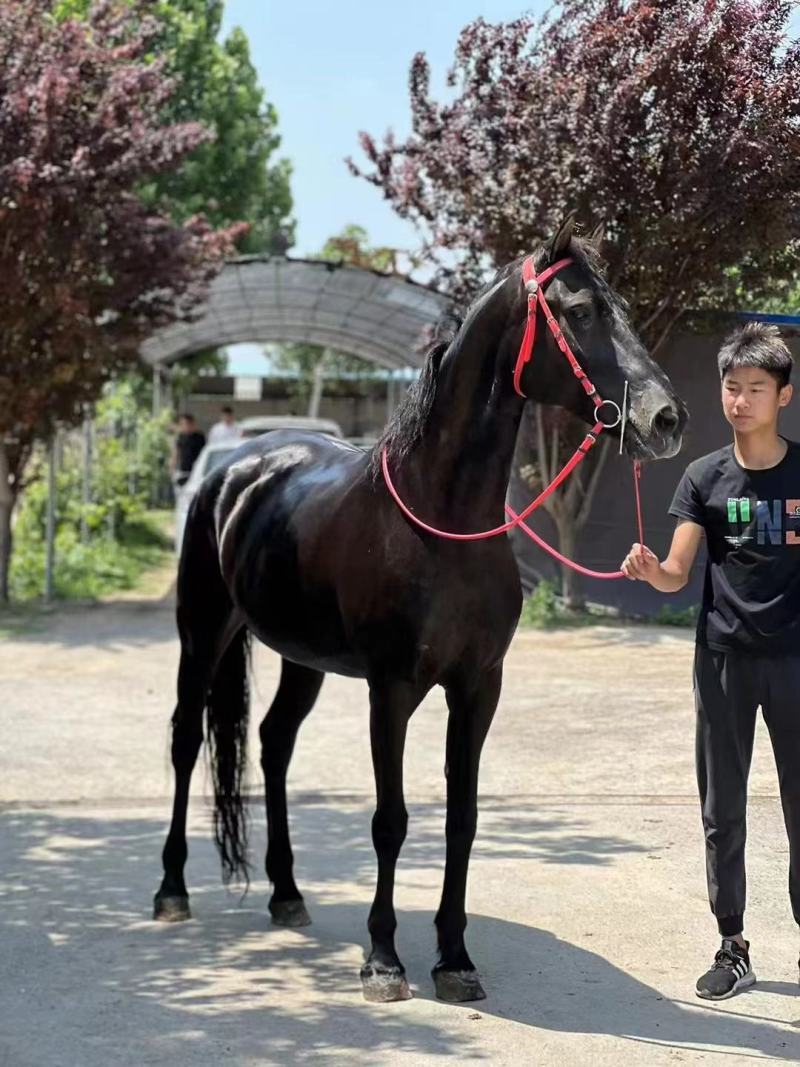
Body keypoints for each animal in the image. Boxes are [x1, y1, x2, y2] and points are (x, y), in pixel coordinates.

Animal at [153, 215, 687, 1004]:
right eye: (581, 310)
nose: (667, 418)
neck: (443, 522)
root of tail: (237, 466)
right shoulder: (392, 687)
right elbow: (391, 819)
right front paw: (383, 958)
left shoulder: (479, 685)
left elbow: (462, 817)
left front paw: (454, 956)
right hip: (204, 631)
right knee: (188, 740)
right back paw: (171, 891)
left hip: (300, 656)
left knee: (275, 744)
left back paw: (287, 893)